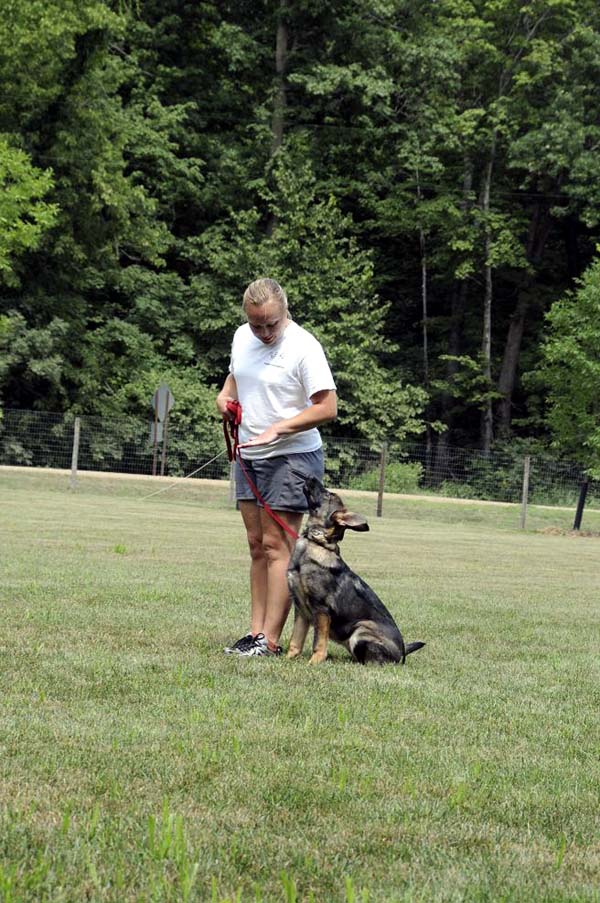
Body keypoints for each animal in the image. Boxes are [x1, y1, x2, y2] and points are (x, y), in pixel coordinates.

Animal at [288, 480, 424, 664]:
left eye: (328, 494)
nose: (309, 477)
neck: (316, 543)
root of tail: (403, 653)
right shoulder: (301, 610)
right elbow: (295, 641)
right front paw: (287, 659)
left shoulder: (321, 610)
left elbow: (318, 642)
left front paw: (314, 662)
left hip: (360, 629)